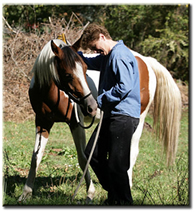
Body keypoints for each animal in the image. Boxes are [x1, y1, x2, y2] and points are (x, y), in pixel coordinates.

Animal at [18, 39, 97, 202]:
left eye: (85, 68)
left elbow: (82, 157)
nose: (92, 107)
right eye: (68, 75)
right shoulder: (43, 123)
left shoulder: (76, 124)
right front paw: (26, 193)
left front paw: (90, 192)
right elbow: (36, 157)